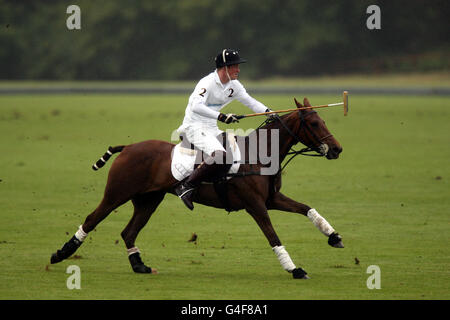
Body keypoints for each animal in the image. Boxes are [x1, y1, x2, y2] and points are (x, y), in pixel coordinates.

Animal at [51, 97, 342, 278]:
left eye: (323, 120)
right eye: (314, 123)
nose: (337, 149)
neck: (259, 155)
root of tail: (129, 147)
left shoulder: (272, 199)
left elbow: (307, 209)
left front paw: (334, 236)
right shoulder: (256, 205)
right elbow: (273, 237)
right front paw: (295, 270)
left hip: (149, 200)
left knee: (128, 232)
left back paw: (140, 266)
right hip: (117, 193)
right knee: (92, 219)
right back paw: (60, 254)